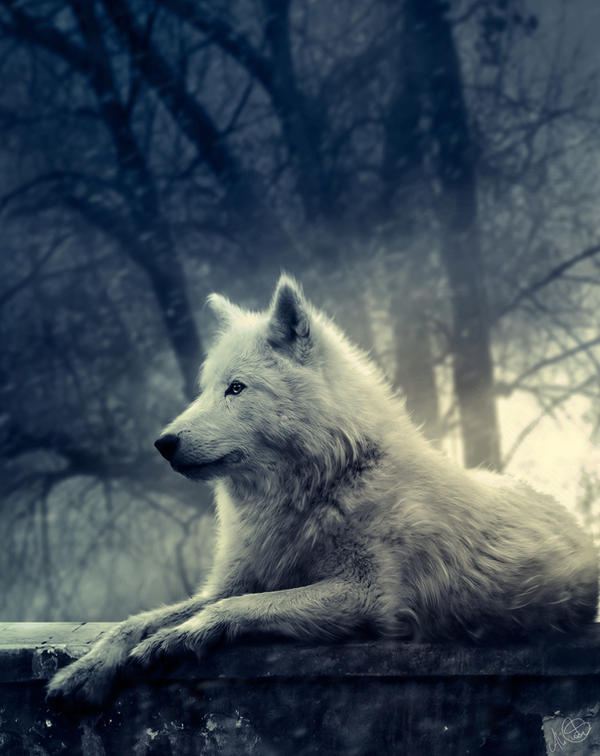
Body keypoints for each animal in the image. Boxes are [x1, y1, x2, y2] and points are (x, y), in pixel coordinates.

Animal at [48, 275, 598, 708]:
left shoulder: (368, 596)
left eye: (236, 388)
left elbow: (236, 608)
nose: (163, 443)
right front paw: (85, 669)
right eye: (206, 389)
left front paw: (179, 637)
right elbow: (137, 620)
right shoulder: (233, 580)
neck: (325, 482)